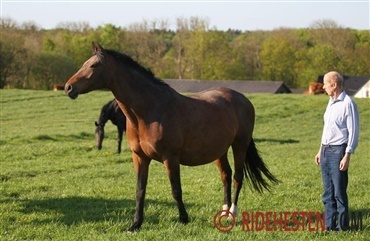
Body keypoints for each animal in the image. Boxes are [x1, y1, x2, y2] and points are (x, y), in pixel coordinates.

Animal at [64, 42, 278, 232]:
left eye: (93, 65)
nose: (68, 87)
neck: (149, 111)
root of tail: (243, 99)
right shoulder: (140, 158)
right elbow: (140, 191)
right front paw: (135, 225)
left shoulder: (171, 158)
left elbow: (176, 190)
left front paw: (184, 219)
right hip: (220, 150)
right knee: (225, 175)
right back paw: (224, 213)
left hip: (239, 145)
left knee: (237, 178)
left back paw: (232, 213)